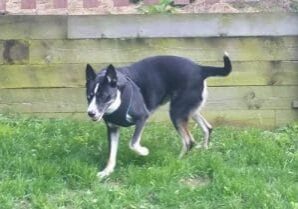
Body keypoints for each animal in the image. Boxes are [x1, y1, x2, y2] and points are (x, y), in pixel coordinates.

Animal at [85, 52, 232, 178]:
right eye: (89, 96)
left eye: (104, 96)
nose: (91, 113)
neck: (119, 96)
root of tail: (200, 69)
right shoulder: (113, 128)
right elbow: (111, 154)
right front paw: (107, 172)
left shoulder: (142, 118)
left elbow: (133, 143)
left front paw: (144, 152)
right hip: (189, 109)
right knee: (207, 128)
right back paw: (204, 149)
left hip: (177, 113)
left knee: (189, 141)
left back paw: (176, 161)